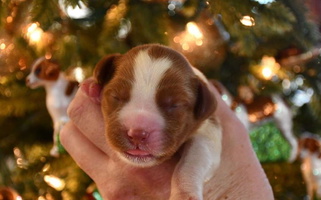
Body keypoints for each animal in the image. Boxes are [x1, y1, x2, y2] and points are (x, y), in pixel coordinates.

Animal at [94, 44, 221, 200]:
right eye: (116, 96)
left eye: (174, 105)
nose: (137, 134)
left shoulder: (209, 130)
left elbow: (193, 161)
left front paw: (184, 194)